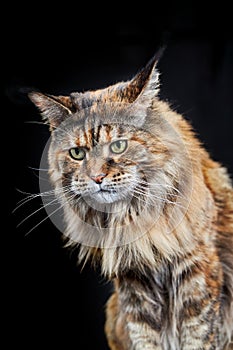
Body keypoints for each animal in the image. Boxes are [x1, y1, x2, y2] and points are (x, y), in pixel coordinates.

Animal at [27, 50, 233, 350]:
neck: (133, 216)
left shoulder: (197, 273)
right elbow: (145, 338)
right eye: (77, 153)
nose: (97, 178)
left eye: (118, 146)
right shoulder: (132, 284)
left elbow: (199, 335)